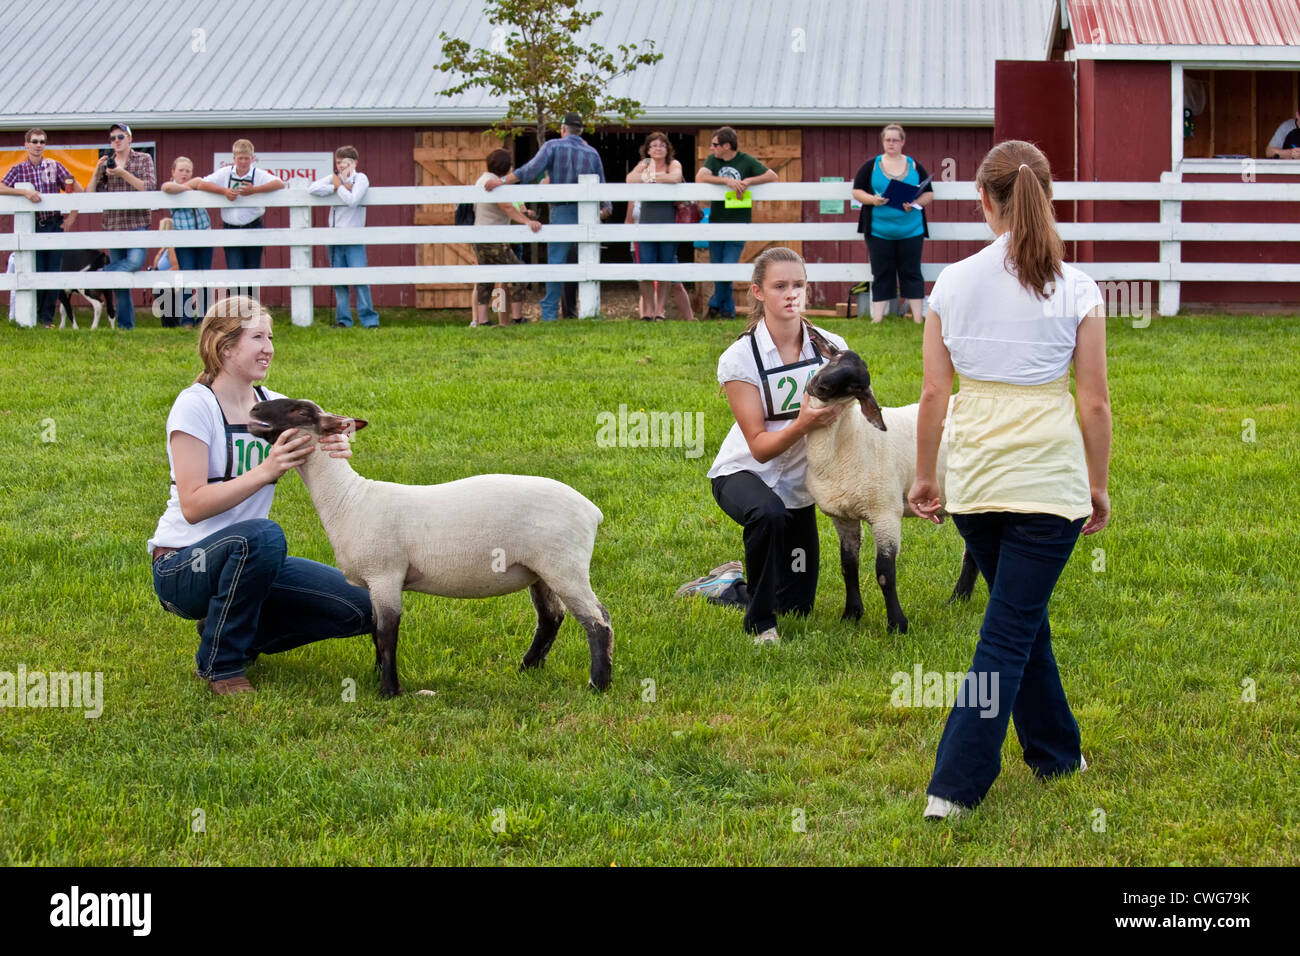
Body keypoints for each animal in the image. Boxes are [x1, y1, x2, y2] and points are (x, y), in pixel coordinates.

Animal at [249, 395, 613, 697]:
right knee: (552, 617)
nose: (254, 409)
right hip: (540, 571)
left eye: (300, 411)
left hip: (564, 564)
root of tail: (592, 510)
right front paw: (378, 677)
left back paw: (598, 685)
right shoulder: (375, 582)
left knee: (598, 621)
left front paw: (389, 691)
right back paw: (527, 669)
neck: (348, 499)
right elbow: (375, 630)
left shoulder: (385, 574)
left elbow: (387, 632)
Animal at [800, 348, 977, 632]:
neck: (850, 439)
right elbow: (848, 566)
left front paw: (897, 624)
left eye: (856, 386)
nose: (820, 385)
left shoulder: (885, 512)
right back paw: (958, 600)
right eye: (835, 357)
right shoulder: (843, 517)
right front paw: (851, 614)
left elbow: (885, 573)